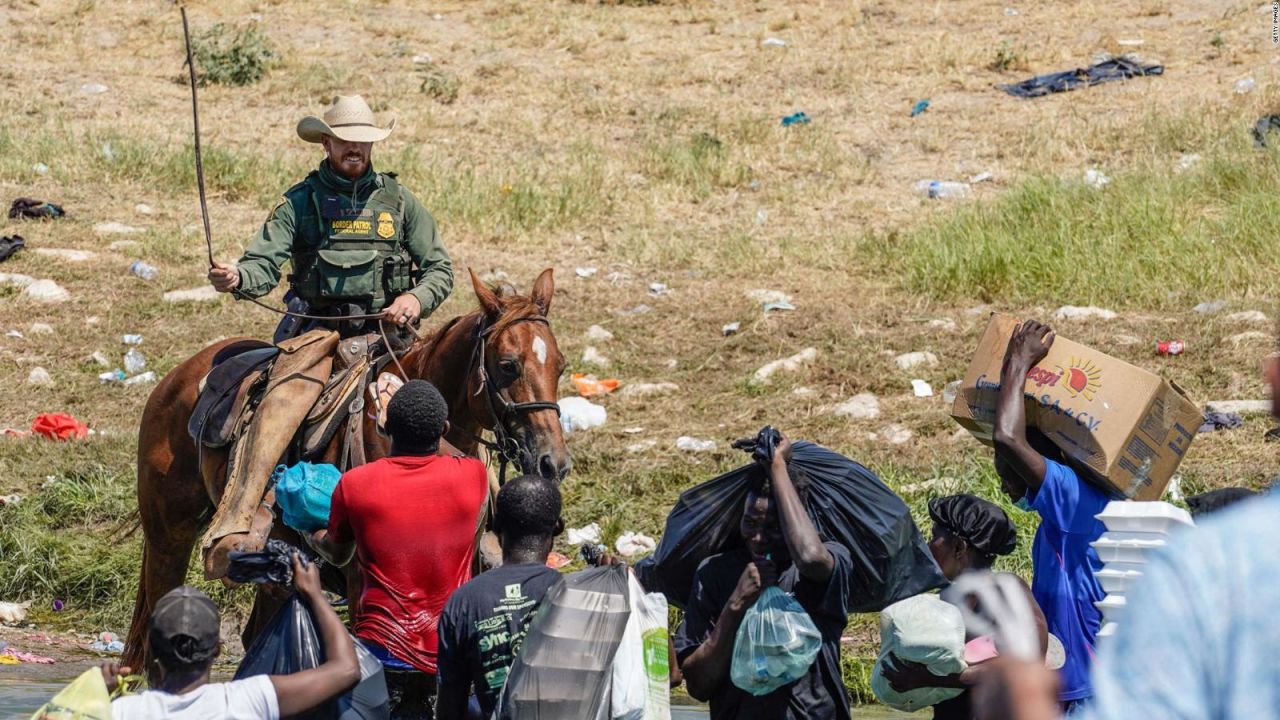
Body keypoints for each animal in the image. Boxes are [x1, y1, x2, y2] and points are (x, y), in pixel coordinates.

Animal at [126, 269, 570, 666]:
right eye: (509, 365)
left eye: (561, 365)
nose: (553, 461)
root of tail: (179, 375)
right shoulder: (364, 582)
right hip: (169, 539)